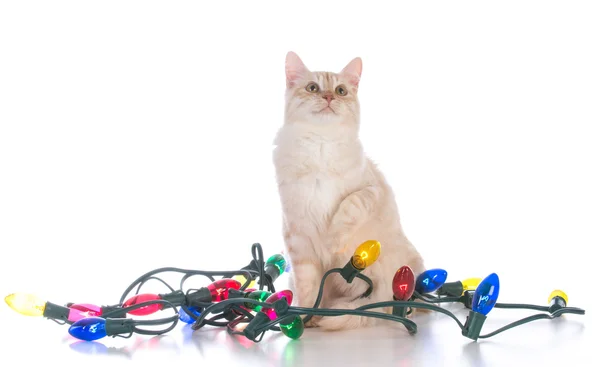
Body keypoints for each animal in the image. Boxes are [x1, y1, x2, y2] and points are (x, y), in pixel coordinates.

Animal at [272, 51, 426, 330]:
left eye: (341, 91)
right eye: (313, 88)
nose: (329, 97)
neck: (320, 146)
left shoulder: (370, 190)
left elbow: (349, 206)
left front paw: (333, 241)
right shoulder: (298, 238)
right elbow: (308, 290)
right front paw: (304, 319)